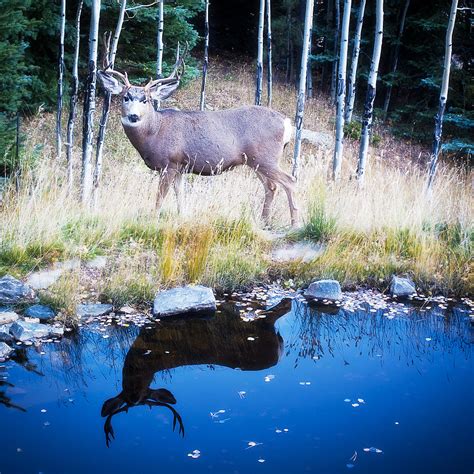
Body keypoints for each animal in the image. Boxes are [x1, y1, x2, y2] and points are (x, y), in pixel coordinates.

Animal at [97, 45, 298, 226]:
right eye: (126, 97)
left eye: (145, 100)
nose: (134, 116)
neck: (155, 132)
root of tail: (286, 122)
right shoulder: (180, 166)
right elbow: (180, 196)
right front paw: (182, 218)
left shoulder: (169, 163)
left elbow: (159, 199)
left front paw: (152, 222)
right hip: (255, 160)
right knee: (271, 186)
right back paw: (264, 222)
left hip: (265, 157)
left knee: (290, 181)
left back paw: (294, 224)